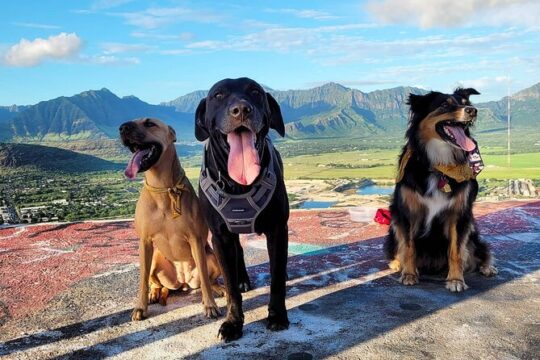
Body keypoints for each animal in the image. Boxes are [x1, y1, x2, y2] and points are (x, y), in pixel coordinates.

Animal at [119, 118, 221, 320]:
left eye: (149, 123)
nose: (122, 127)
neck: (163, 188)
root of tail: (182, 282)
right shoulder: (145, 242)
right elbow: (142, 279)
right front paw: (140, 307)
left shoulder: (196, 240)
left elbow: (205, 277)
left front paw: (209, 305)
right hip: (155, 258)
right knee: (156, 282)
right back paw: (154, 293)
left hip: (212, 257)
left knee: (208, 278)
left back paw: (218, 288)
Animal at [193, 77, 286, 342]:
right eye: (218, 95)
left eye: (255, 91)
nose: (242, 109)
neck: (238, 184)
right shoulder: (220, 236)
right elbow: (230, 286)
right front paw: (233, 322)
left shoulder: (278, 229)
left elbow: (277, 277)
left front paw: (277, 315)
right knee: (239, 252)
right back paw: (243, 279)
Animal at [384, 89, 498, 292]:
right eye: (444, 105)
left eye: (465, 102)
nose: (473, 110)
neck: (439, 165)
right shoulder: (407, 213)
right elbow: (409, 247)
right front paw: (409, 274)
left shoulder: (459, 215)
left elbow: (456, 251)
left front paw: (456, 280)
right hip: (394, 225)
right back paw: (398, 264)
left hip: (472, 232)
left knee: (479, 252)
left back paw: (487, 267)